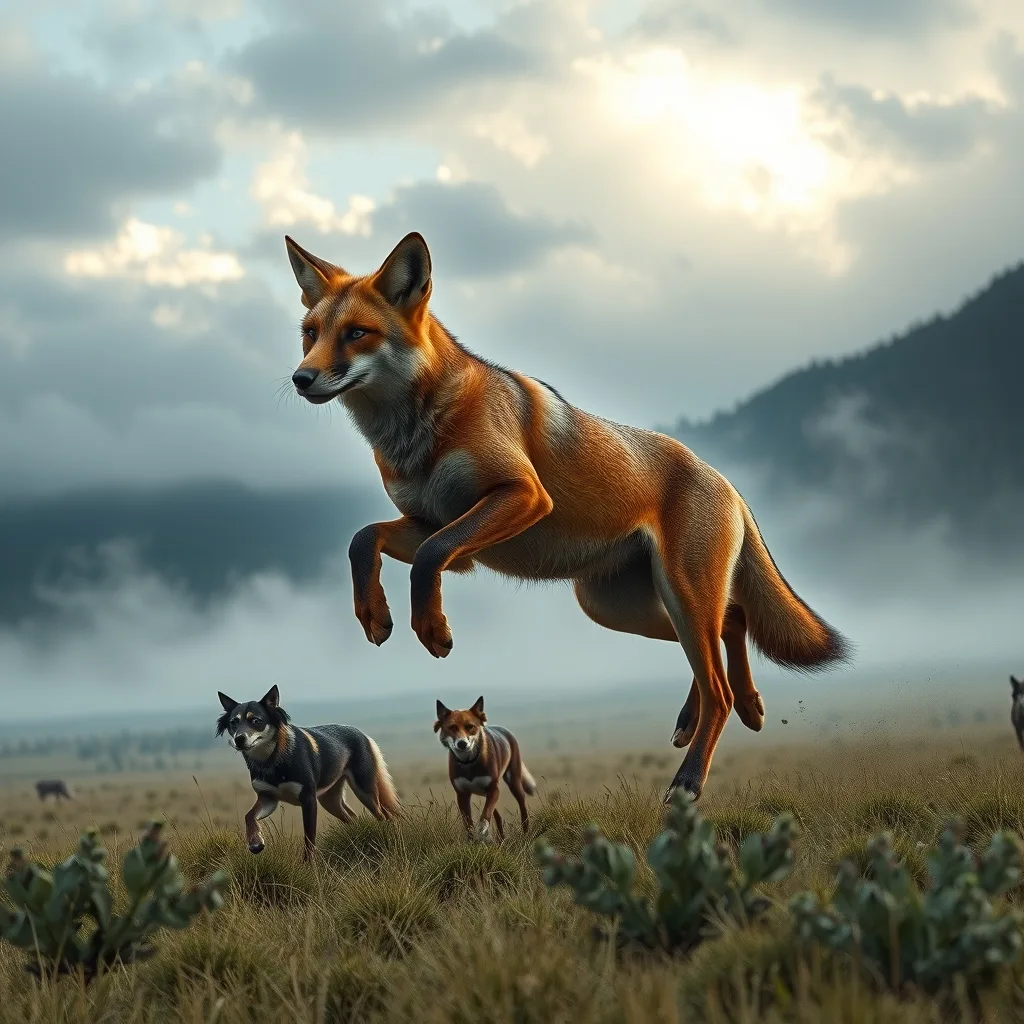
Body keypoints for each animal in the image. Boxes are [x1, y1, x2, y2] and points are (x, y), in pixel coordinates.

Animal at [216, 685, 400, 861]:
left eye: (256, 720)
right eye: (233, 722)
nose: (239, 739)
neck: (271, 760)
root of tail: (364, 735)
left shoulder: (308, 799)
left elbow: (309, 838)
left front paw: (308, 864)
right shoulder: (268, 798)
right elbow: (249, 816)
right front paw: (255, 843)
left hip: (365, 790)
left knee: (383, 815)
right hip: (330, 800)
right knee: (354, 818)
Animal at [284, 231, 851, 802]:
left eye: (357, 333)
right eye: (310, 334)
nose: (300, 378)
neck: (417, 437)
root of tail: (725, 480)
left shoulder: (522, 497)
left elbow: (427, 558)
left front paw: (432, 628)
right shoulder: (434, 525)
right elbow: (364, 540)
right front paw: (374, 614)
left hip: (677, 598)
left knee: (720, 686)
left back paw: (691, 777)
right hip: (619, 608)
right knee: (732, 625)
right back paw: (730, 711)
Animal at [434, 696, 536, 841]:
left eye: (470, 727)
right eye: (452, 727)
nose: (462, 743)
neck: (469, 763)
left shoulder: (493, 790)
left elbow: (484, 816)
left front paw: (482, 832)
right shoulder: (462, 795)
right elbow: (468, 824)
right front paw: (472, 841)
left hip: (513, 782)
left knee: (522, 807)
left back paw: (525, 833)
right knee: (498, 816)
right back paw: (501, 839)